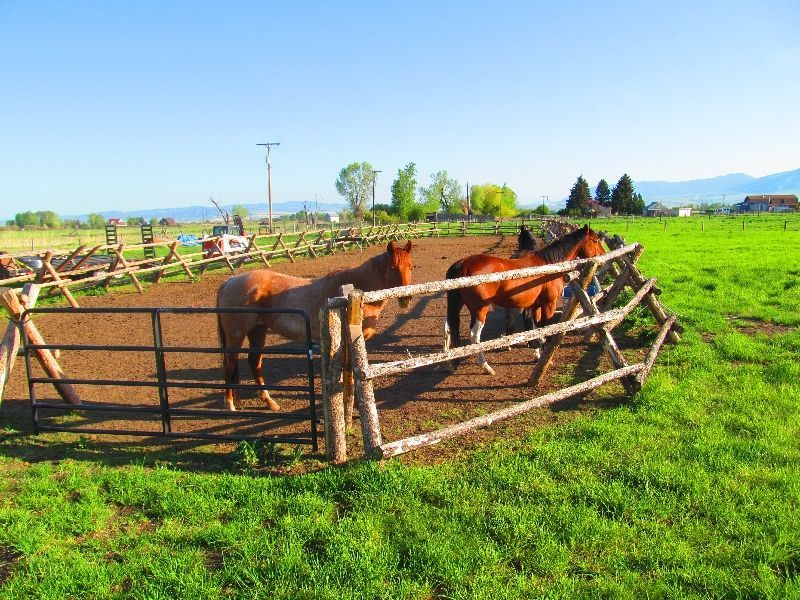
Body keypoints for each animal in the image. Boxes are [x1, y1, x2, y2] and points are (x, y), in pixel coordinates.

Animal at [216, 241, 413, 411]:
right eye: (392, 267)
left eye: (411, 266)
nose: (406, 299)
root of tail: (229, 282)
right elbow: (351, 373)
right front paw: (355, 404)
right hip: (236, 335)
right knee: (230, 364)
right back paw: (230, 404)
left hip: (258, 331)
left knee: (254, 362)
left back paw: (270, 403)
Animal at [443, 225, 604, 375]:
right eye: (595, 240)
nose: (603, 255)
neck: (548, 264)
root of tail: (463, 263)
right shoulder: (549, 305)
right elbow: (546, 328)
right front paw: (546, 358)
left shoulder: (536, 306)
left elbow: (537, 329)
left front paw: (537, 354)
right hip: (479, 310)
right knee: (474, 336)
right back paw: (486, 367)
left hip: (457, 306)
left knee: (449, 329)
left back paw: (451, 363)